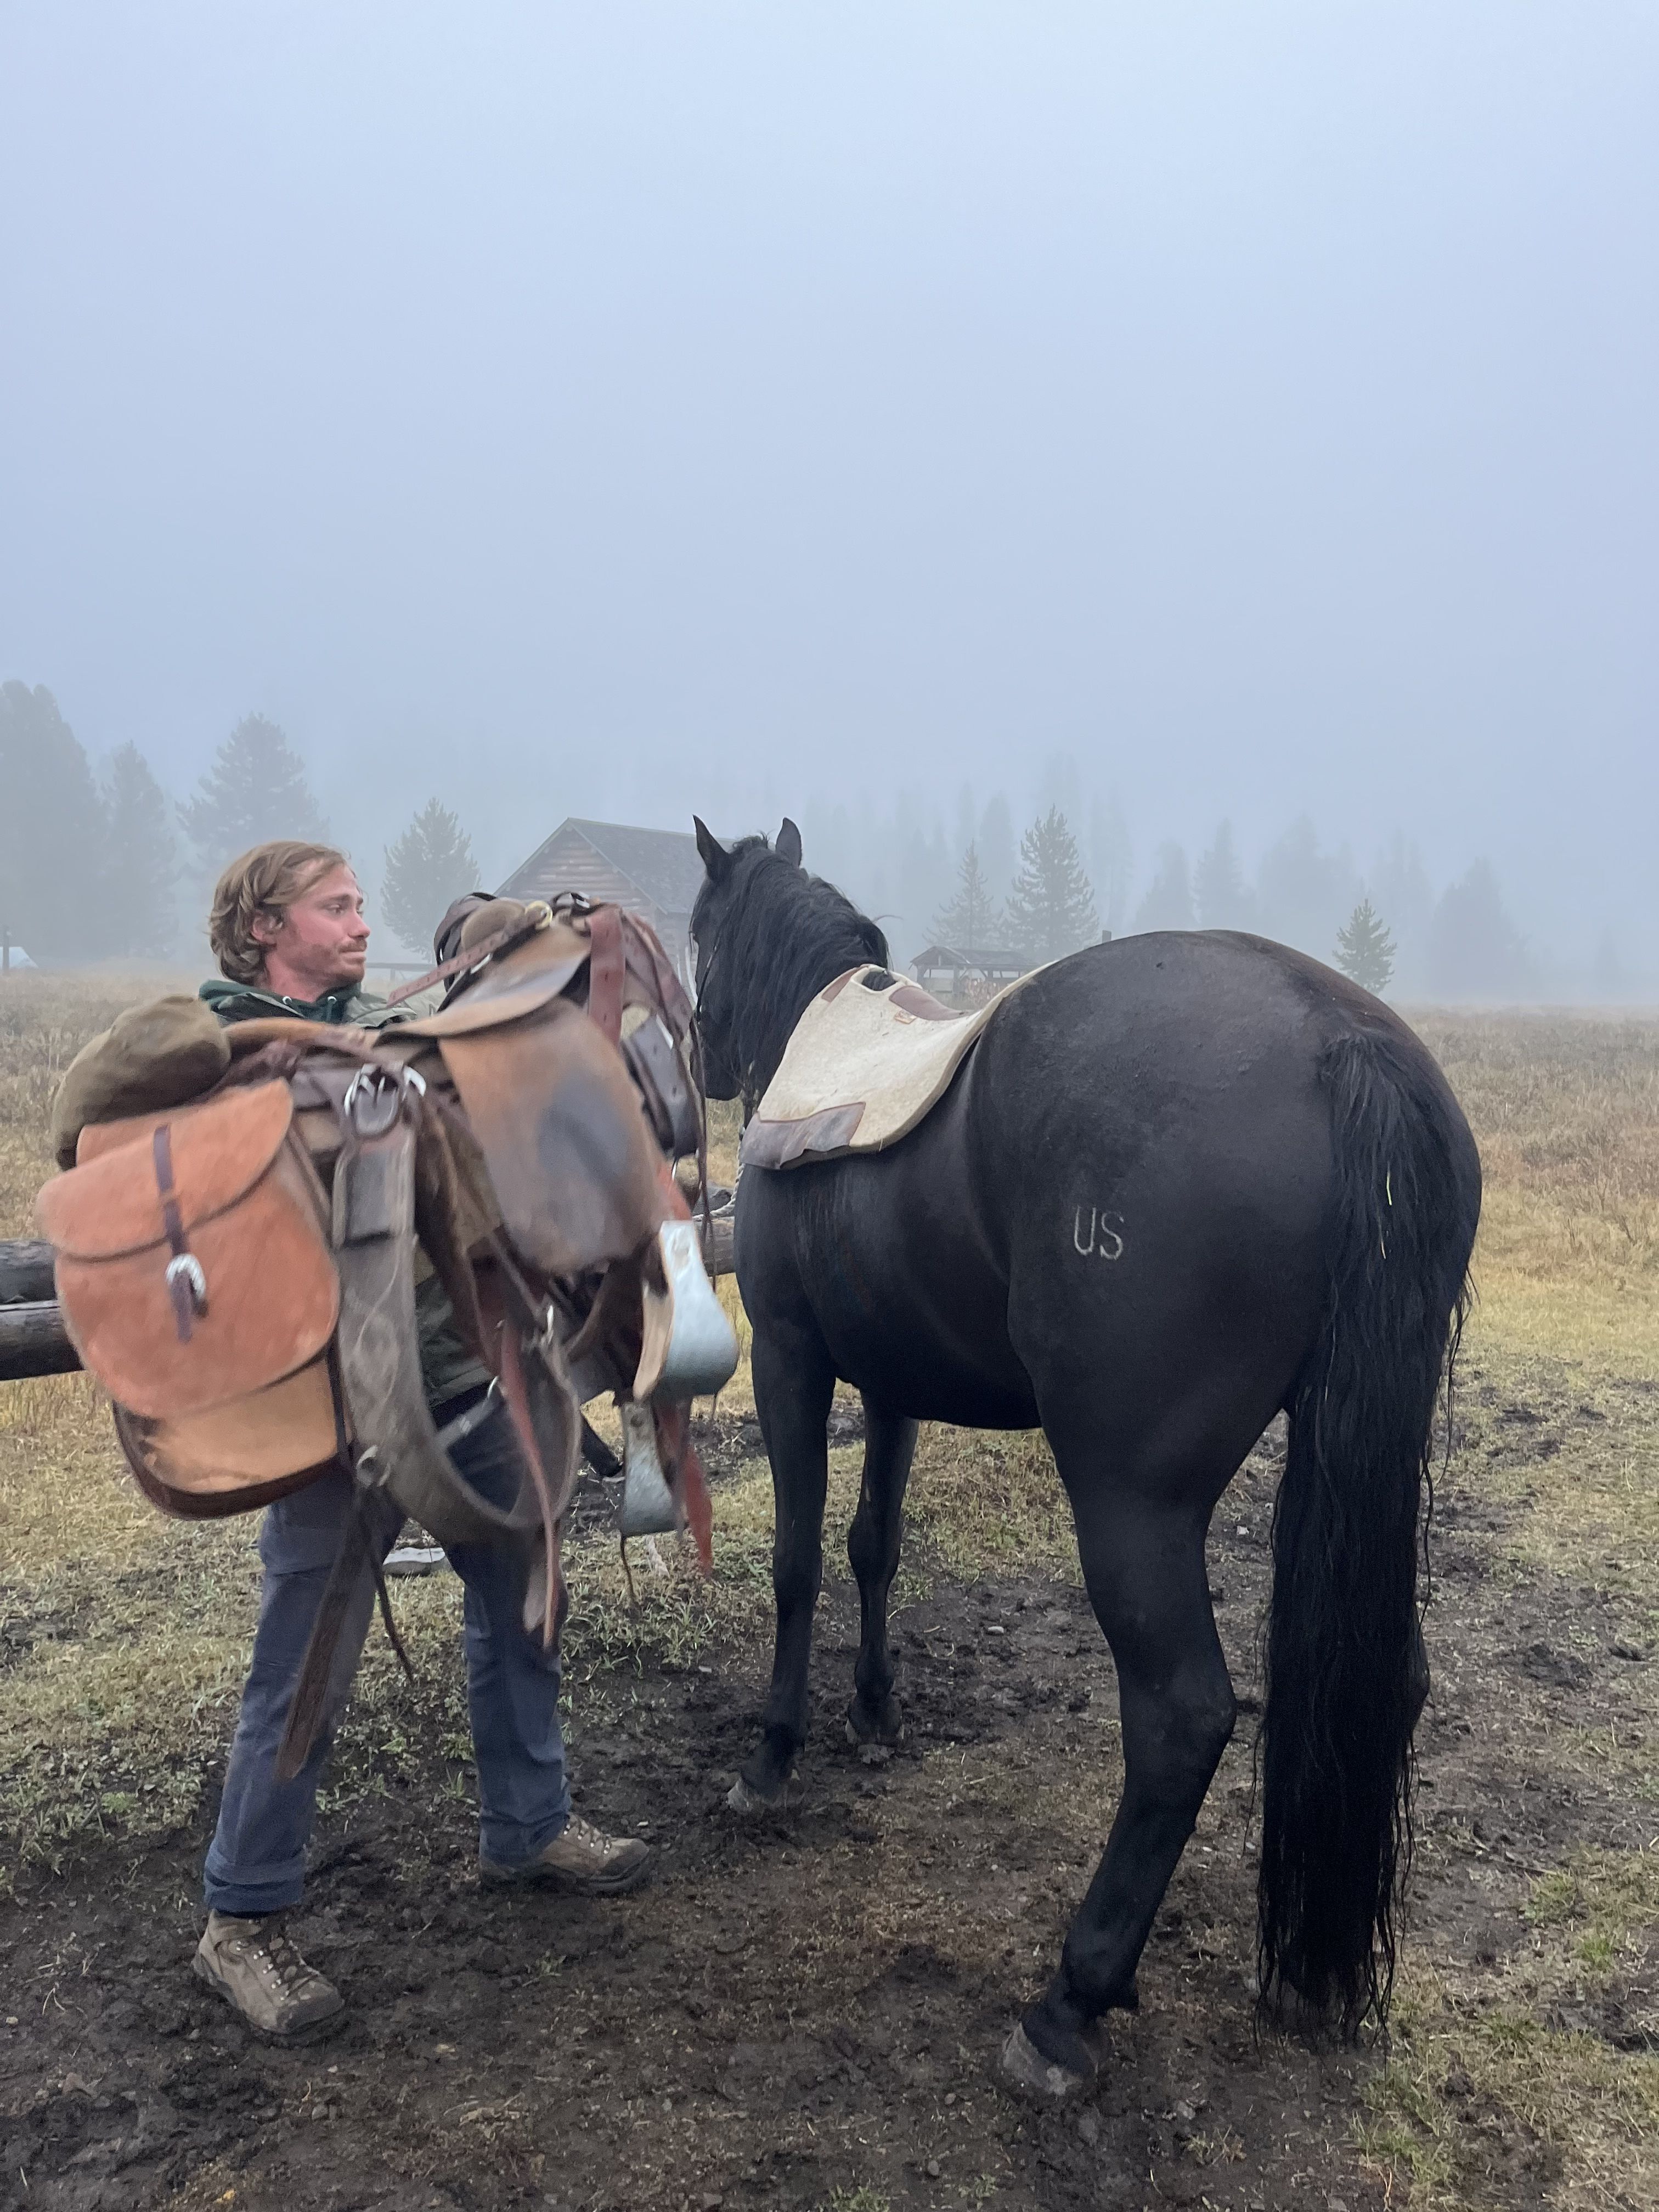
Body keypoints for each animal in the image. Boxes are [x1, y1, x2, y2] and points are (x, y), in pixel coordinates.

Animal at [690, 822, 1477, 2097]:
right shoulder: (895, 1387)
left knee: (1180, 1716)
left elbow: (798, 1564)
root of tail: (1338, 1042)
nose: (703, 1051)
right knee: (1393, 1679)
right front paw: (874, 1710)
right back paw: (1309, 1978)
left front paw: (770, 1758)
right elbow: (873, 1546)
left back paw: (1069, 2000)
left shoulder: (793, 1365)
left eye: (699, 933)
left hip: (1128, 1501)